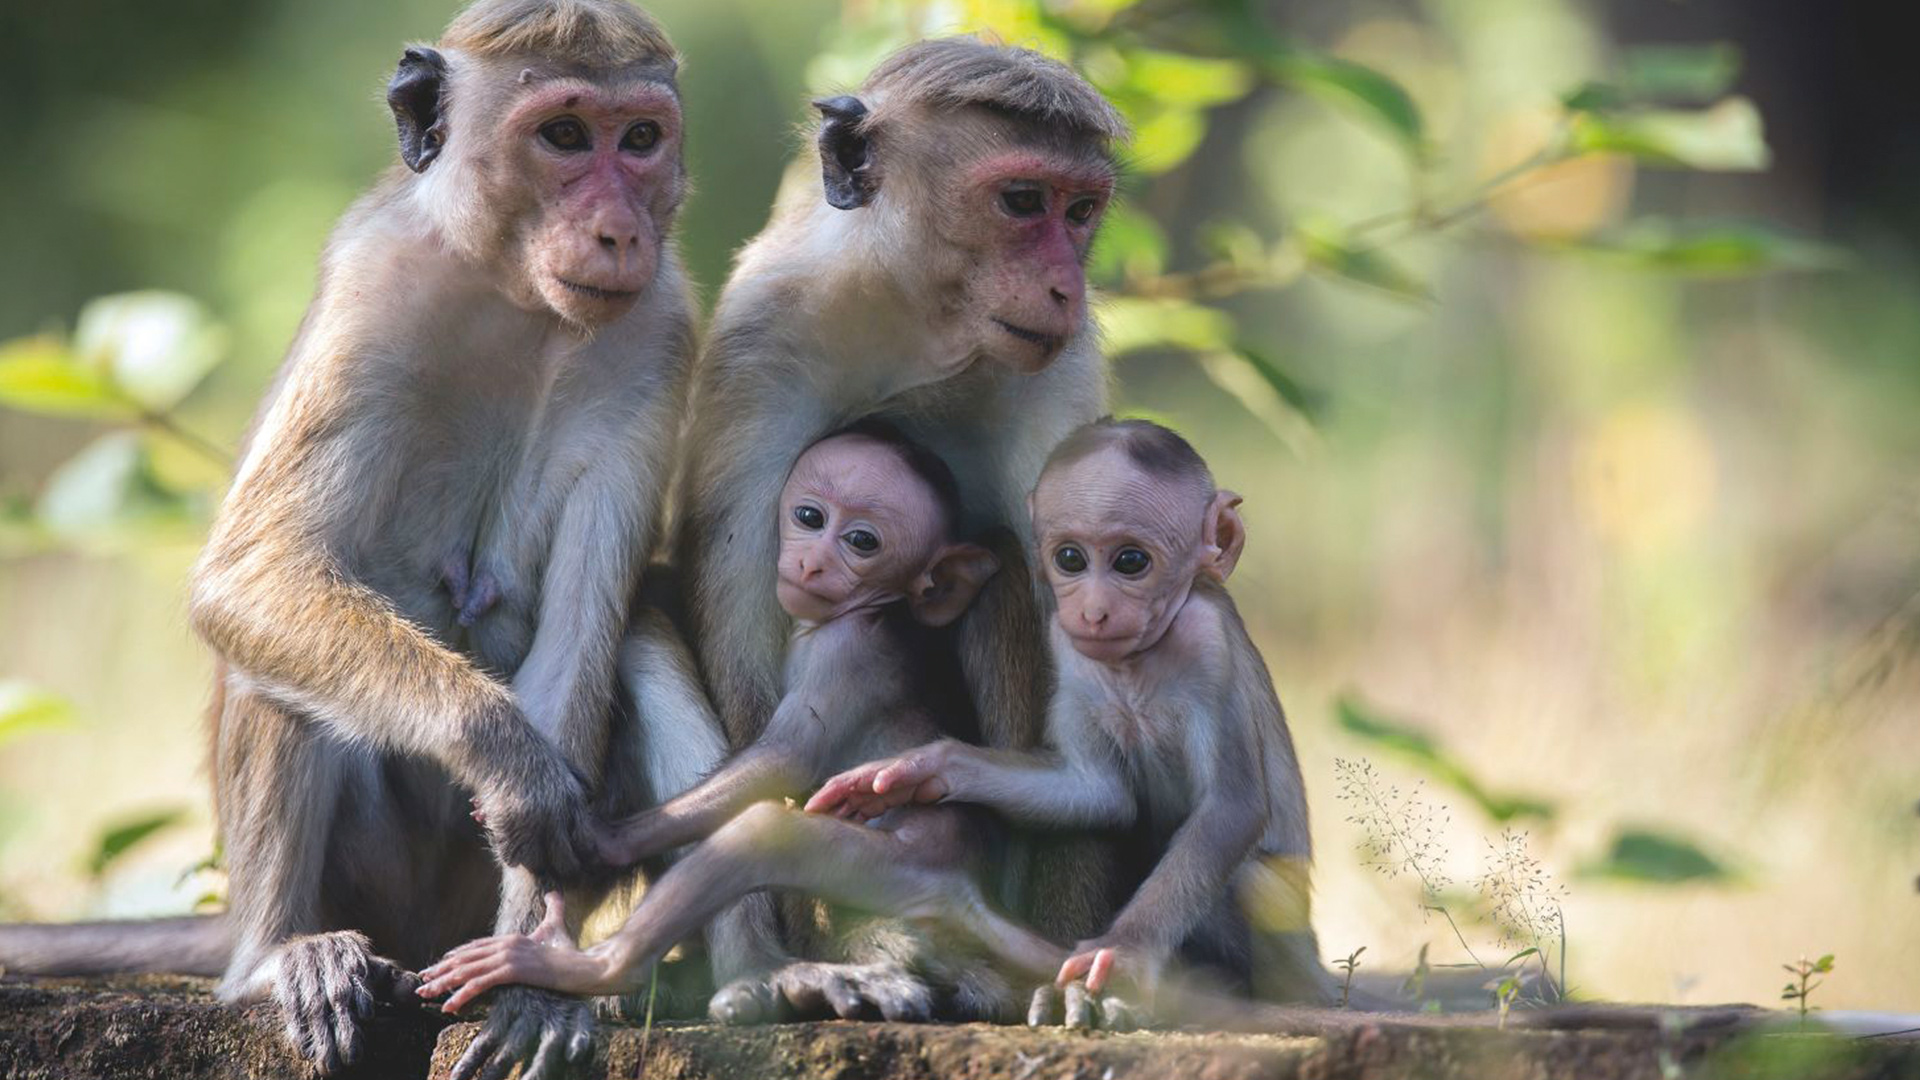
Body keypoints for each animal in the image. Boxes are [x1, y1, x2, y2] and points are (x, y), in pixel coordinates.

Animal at [0, 4, 691, 1068]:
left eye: (642, 138)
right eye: (567, 135)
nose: (619, 231)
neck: (514, 293)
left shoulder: (657, 336)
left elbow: (578, 643)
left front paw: (535, 984)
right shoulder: (376, 288)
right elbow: (253, 578)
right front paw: (508, 755)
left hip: (455, 906)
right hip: (366, 883)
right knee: (278, 657)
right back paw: (281, 957)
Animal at [412, 420, 1059, 1006]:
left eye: (863, 542)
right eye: (809, 518)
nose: (813, 564)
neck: (862, 611)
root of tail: (971, 893)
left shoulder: (844, 653)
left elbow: (786, 760)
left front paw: (604, 838)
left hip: (906, 863)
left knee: (764, 832)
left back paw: (581, 967)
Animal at [668, 31, 1121, 1006]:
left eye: (1081, 211)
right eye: (1022, 202)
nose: (1066, 288)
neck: (922, 328)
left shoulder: (1059, 377)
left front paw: (1074, 972)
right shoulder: (763, 341)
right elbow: (744, 641)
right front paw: (806, 958)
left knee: (1003, 566)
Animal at [810, 417, 1336, 1022]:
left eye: (1131, 562)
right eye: (1070, 559)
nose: (1093, 611)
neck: (1138, 660)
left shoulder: (1209, 645)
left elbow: (1231, 809)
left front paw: (1124, 950)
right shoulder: (1066, 644)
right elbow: (1099, 793)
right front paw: (919, 771)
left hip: (1292, 948)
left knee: (1248, 879)